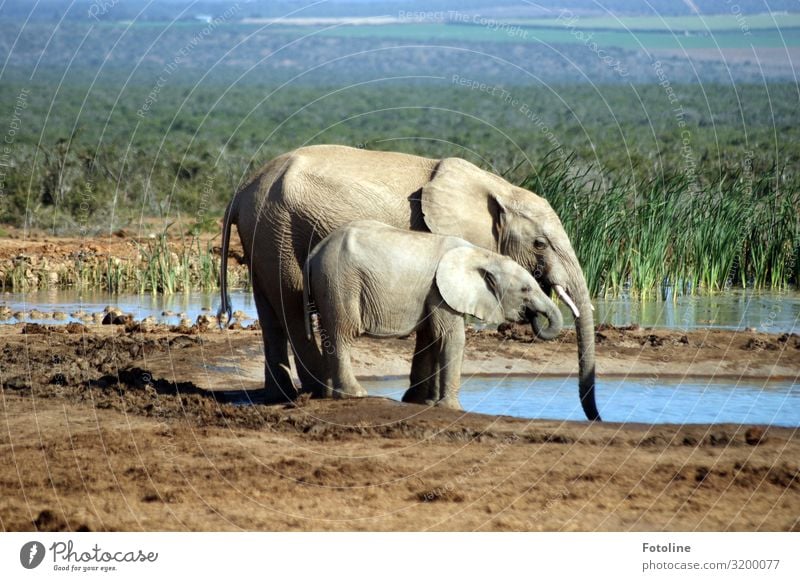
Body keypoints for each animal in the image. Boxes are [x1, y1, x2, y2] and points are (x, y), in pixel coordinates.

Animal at [302, 219, 564, 408]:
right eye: (525, 289)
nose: (532, 317)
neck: (482, 255)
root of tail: (314, 252)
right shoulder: (440, 290)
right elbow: (450, 337)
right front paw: (452, 408)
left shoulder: (436, 293)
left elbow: (432, 338)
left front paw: (426, 403)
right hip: (340, 280)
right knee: (342, 333)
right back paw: (354, 394)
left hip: (327, 283)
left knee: (328, 333)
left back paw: (329, 394)